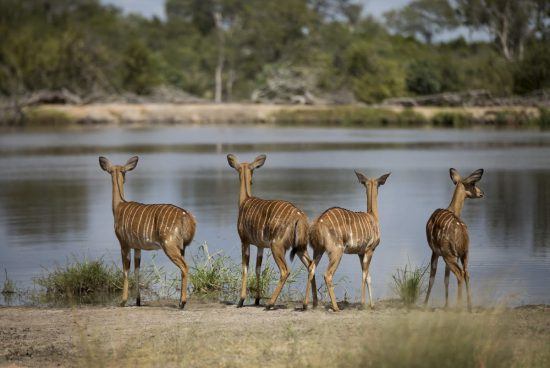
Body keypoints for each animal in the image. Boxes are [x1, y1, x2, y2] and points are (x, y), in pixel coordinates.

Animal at [98, 157, 196, 310]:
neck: (119, 206)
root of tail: (186, 216)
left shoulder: (124, 243)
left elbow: (125, 270)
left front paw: (123, 301)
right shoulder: (137, 247)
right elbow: (137, 269)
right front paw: (138, 301)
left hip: (169, 245)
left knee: (185, 267)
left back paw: (182, 303)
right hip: (182, 247)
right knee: (182, 268)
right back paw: (180, 301)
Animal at [226, 154, 316, 310]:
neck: (244, 201)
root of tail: (299, 217)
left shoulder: (245, 241)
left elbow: (245, 267)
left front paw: (241, 301)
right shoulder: (260, 245)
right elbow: (258, 267)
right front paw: (256, 300)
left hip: (277, 246)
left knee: (285, 270)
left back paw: (270, 304)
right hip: (300, 247)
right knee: (311, 265)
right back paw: (307, 304)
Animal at [310, 170, 392, 310]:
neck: (373, 217)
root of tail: (319, 222)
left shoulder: (360, 253)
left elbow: (368, 276)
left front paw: (372, 304)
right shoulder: (370, 249)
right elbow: (364, 275)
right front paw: (363, 304)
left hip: (318, 250)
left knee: (311, 268)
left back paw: (308, 305)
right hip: (336, 251)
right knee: (327, 274)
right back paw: (336, 308)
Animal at [424, 168, 486, 312]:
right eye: (473, 184)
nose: (482, 193)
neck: (453, 209)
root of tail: (462, 233)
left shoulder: (435, 252)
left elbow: (432, 277)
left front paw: (424, 304)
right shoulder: (451, 254)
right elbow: (445, 278)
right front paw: (446, 305)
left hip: (449, 254)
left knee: (459, 274)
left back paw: (459, 306)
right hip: (464, 253)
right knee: (466, 273)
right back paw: (469, 306)